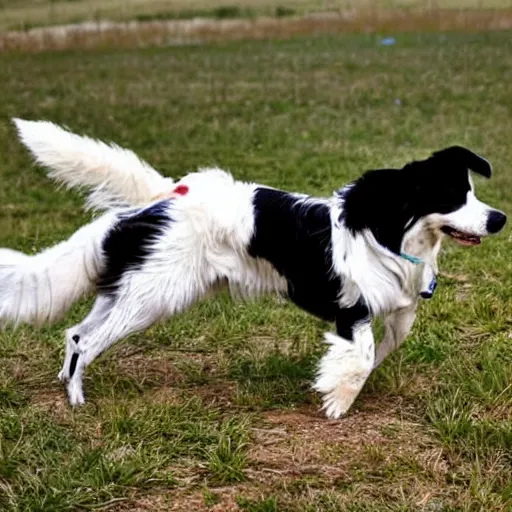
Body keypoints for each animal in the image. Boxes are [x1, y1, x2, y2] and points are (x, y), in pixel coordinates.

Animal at [0, 119, 504, 416]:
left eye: (472, 192)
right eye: (452, 198)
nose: (498, 219)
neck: (391, 234)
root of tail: (165, 196)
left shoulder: (399, 313)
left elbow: (382, 351)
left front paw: (339, 385)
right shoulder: (352, 310)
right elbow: (361, 357)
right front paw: (336, 402)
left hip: (132, 292)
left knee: (76, 334)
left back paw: (67, 383)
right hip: (154, 297)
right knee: (87, 341)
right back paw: (77, 399)